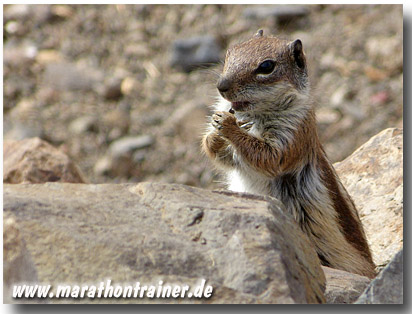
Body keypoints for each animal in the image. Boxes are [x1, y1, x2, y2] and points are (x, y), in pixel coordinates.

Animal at [203, 30, 376, 278]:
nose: (221, 86)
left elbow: (270, 157)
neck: (256, 115)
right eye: (230, 51)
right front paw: (215, 135)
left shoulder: (294, 133)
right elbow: (221, 155)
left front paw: (229, 125)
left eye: (266, 66)